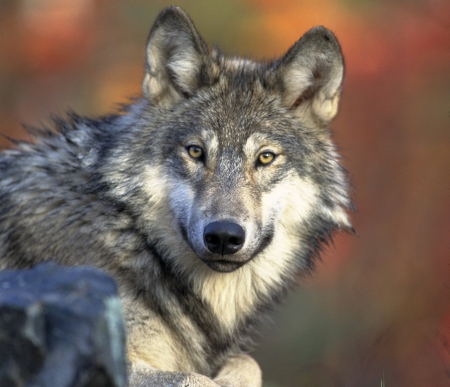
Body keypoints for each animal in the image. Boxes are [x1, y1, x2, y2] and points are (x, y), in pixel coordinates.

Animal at [0, 6, 352, 387]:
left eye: (265, 157)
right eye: (196, 152)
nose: (224, 236)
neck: (132, 236)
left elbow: (248, 364)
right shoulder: (102, 353)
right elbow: (194, 378)